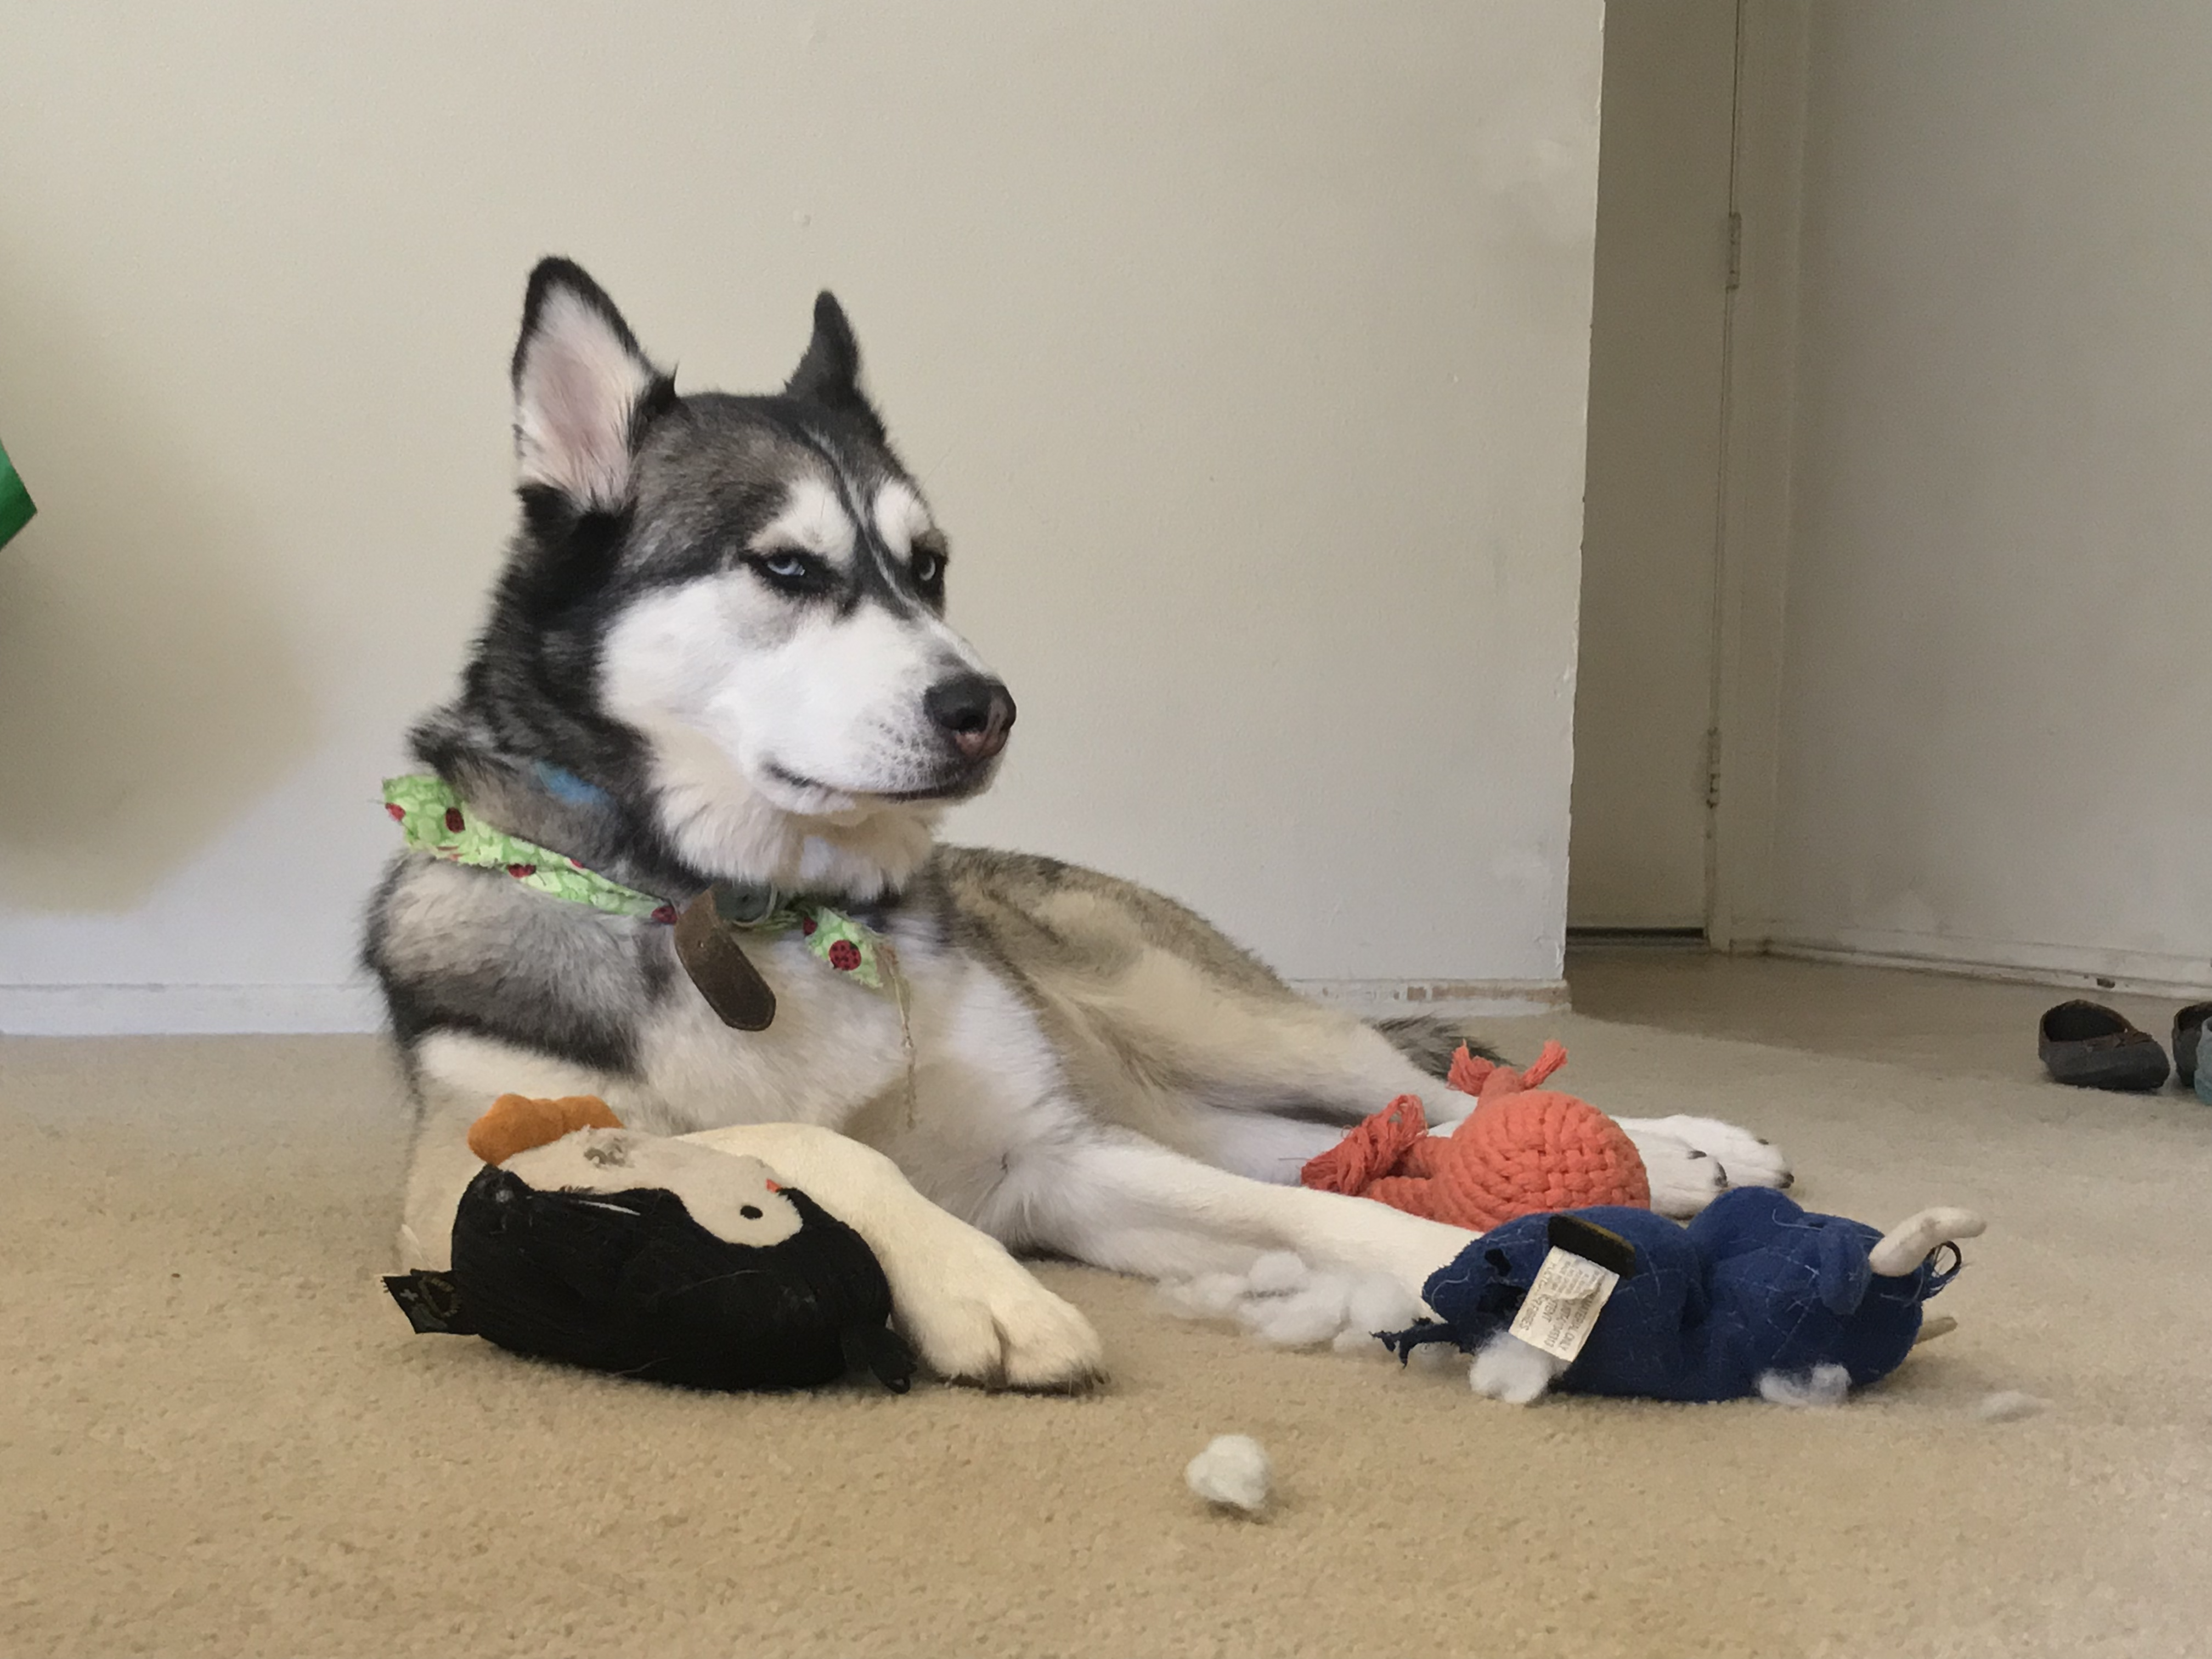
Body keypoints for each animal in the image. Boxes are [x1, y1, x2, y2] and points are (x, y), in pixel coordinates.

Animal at [358, 263, 1778, 1389]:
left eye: (929, 567)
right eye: (786, 568)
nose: (985, 709)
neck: (760, 914)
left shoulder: (1057, 1161)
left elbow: (1352, 1219)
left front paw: (1486, 1260)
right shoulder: (470, 1185)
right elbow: (794, 1139)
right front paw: (975, 1283)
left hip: (1210, 1018)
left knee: (1422, 1094)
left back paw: (1684, 1151)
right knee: (1320, 1144)